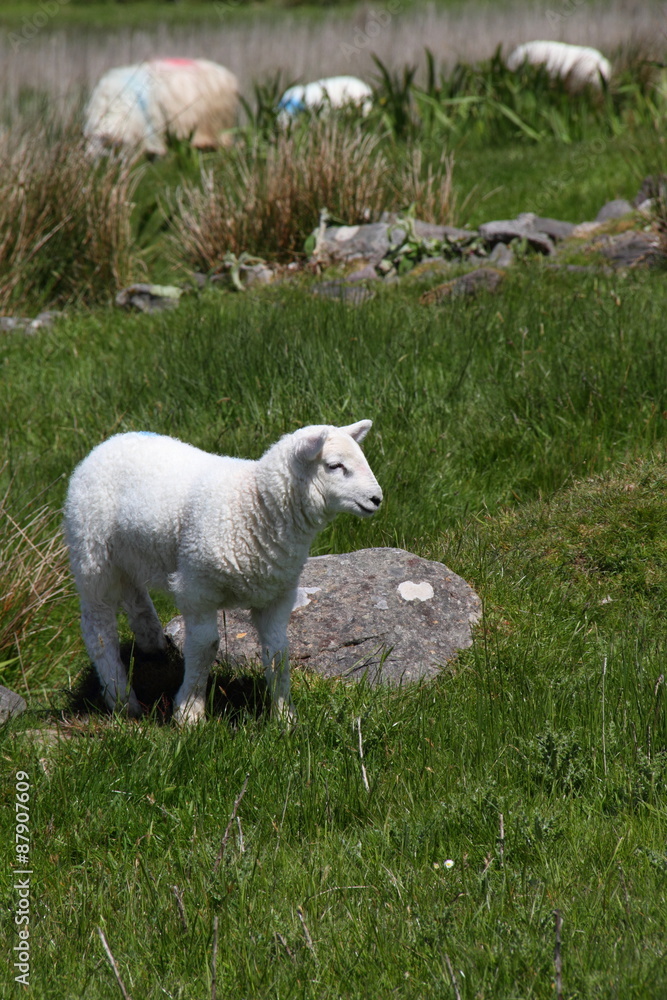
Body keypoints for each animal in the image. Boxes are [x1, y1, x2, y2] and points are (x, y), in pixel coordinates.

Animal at [64, 422, 382, 725]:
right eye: (334, 465)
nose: (377, 499)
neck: (255, 506)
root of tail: (112, 440)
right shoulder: (197, 588)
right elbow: (206, 646)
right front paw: (189, 713)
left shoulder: (277, 594)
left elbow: (278, 652)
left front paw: (284, 717)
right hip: (92, 554)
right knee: (98, 628)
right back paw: (121, 699)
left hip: (131, 554)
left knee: (136, 597)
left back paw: (152, 646)